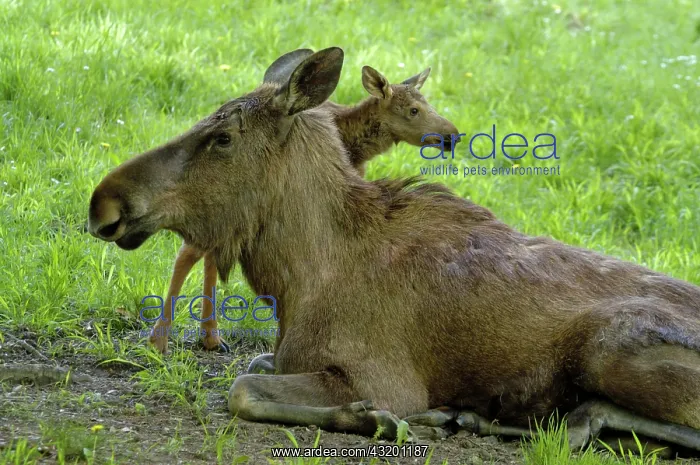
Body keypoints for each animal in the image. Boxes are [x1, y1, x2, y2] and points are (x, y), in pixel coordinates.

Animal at [146, 48, 460, 356]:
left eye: (428, 103)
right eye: (413, 110)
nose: (452, 135)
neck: (354, 143)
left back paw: (209, 337)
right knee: (188, 252)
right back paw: (161, 340)